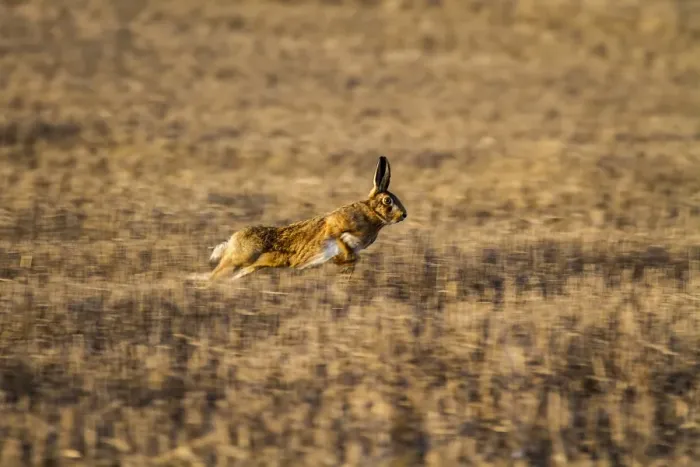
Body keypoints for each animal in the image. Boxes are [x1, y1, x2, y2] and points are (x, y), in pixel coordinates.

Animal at [206, 156, 407, 281]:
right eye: (387, 200)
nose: (404, 215)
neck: (371, 212)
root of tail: (233, 239)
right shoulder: (335, 228)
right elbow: (341, 243)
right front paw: (344, 262)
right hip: (242, 257)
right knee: (217, 272)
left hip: (252, 265)